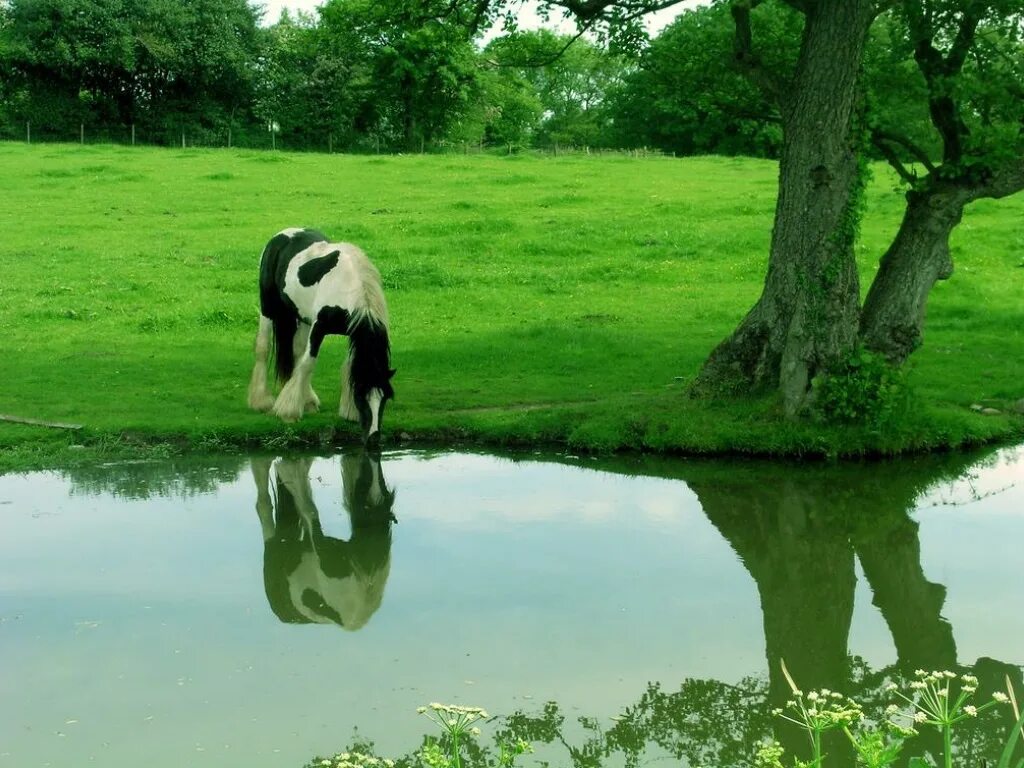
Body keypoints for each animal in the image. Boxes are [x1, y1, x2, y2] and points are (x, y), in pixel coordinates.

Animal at [245, 225, 393, 448]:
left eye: (384, 398)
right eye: (361, 396)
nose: (374, 439)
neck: (349, 285)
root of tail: (280, 236)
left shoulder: (353, 332)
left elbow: (346, 367)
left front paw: (348, 412)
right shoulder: (319, 326)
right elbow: (308, 363)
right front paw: (288, 411)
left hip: (302, 317)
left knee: (297, 352)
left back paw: (307, 401)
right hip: (268, 308)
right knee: (263, 349)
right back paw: (261, 401)